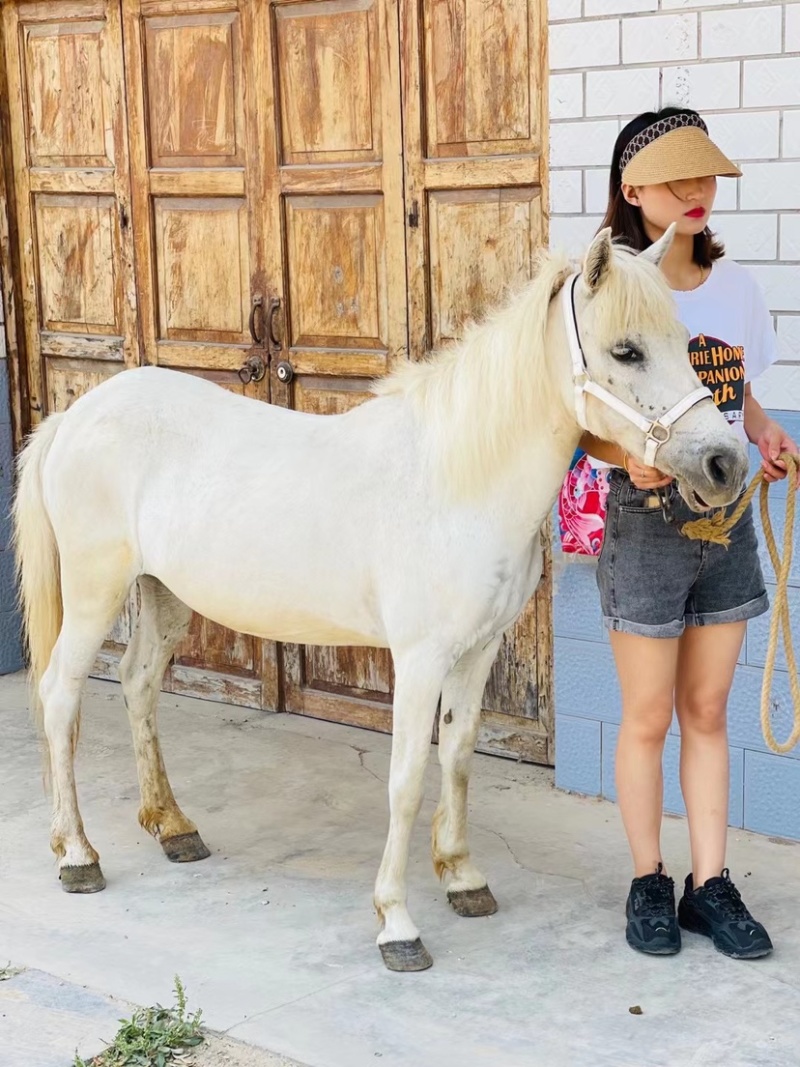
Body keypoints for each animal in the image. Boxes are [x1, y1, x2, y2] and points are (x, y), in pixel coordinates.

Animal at [13, 225, 748, 972]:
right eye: (626, 350)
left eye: (681, 339)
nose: (726, 465)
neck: (456, 481)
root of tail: (75, 416)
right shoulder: (419, 660)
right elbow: (406, 777)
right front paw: (397, 922)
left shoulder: (478, 652)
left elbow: (457, 757)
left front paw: (462, 877)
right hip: (95, 592)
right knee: (61, 695)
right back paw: (77, 855)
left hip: (162, 594)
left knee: (138, 684)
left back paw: (172, 827)